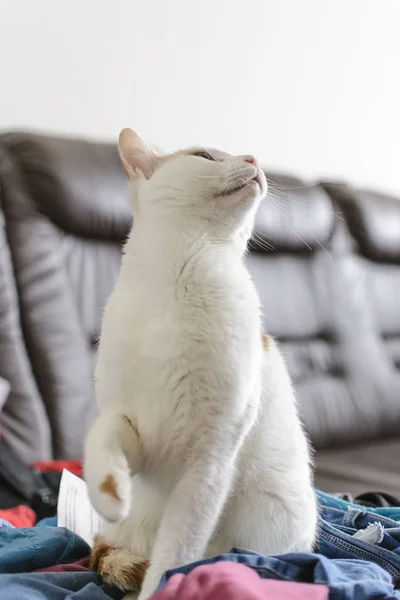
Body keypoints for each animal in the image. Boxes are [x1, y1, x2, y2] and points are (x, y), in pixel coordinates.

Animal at [83, 129, 316, 596]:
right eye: (204, 156)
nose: (254, 158)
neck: (185, 272)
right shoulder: (136, 434)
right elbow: (107, 429)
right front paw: (108, 487)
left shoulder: (209, 462)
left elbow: (174, 553)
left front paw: (162, 588)